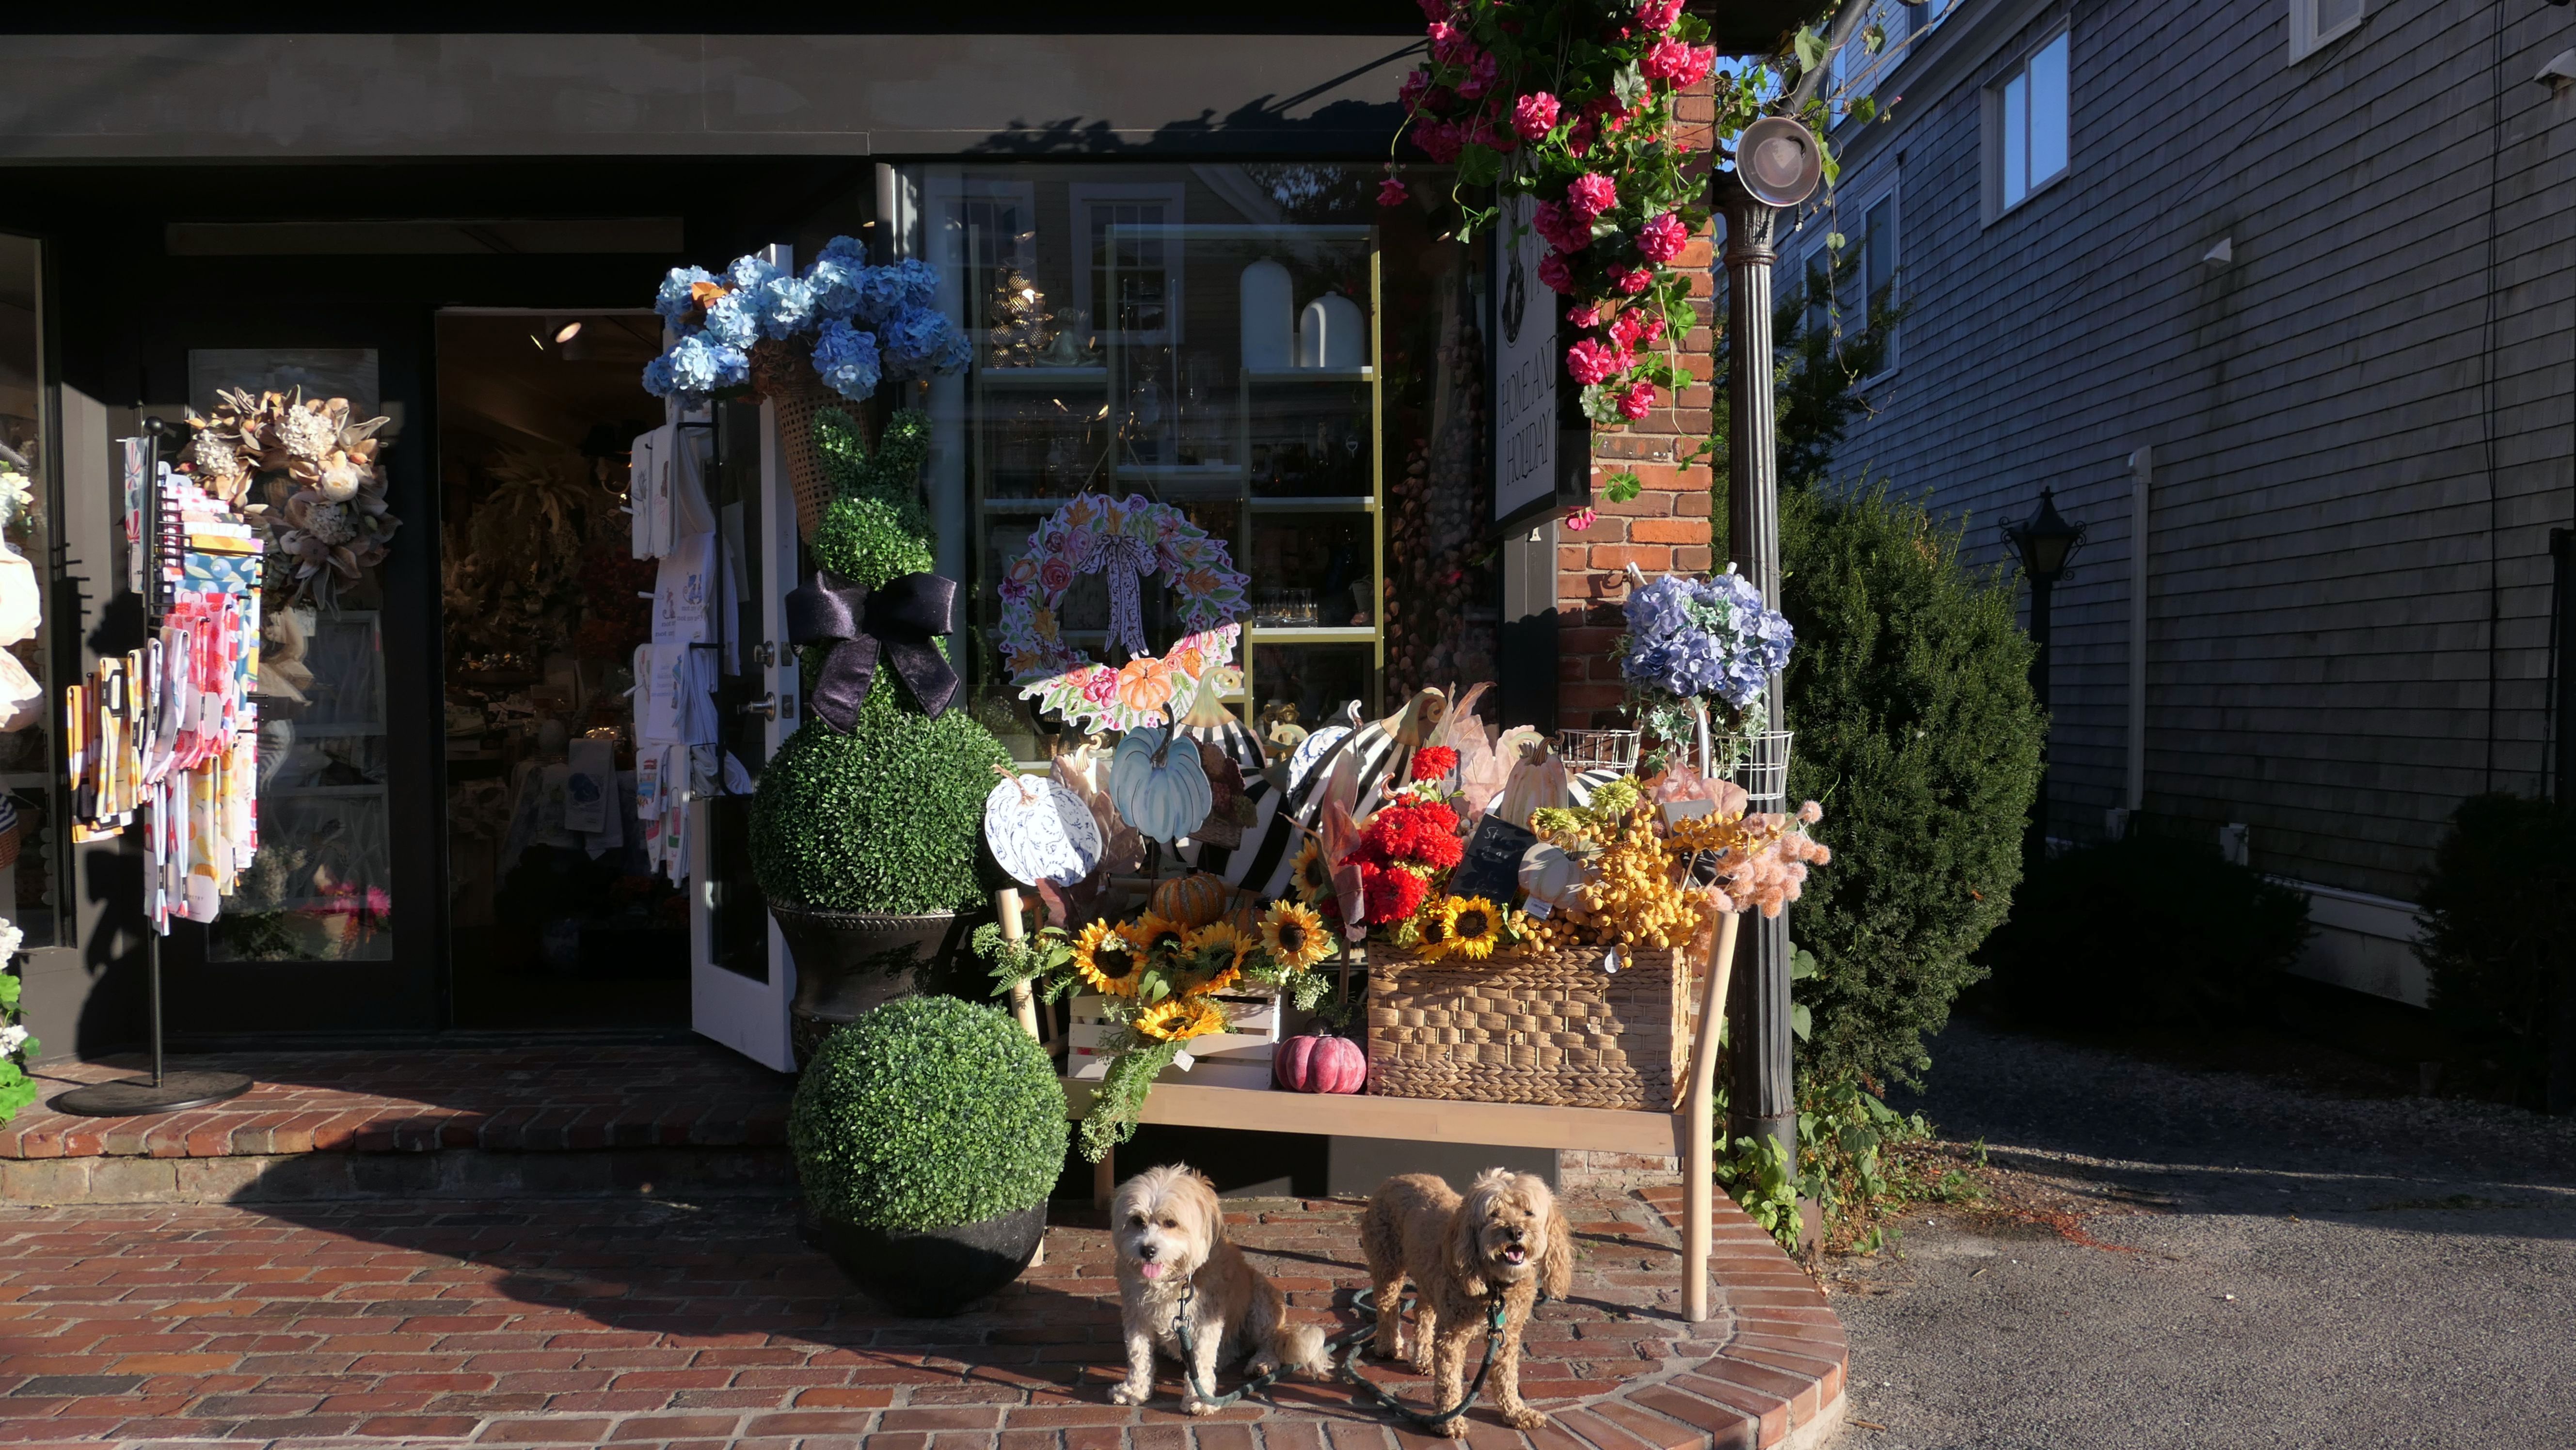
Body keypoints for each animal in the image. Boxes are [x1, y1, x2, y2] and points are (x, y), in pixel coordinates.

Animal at [1108, 1164, 1328, 1414]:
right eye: (1137, 1221)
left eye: (1171, 1223)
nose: (1148, 1250)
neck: (1173, 1282)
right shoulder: (1136, 1315)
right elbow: (1138, 1356)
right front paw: (1133, 1390)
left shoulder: (1206, 1319)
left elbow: (1201, 1360)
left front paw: (1199, 1398)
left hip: (1261, 1303)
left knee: (1269, 1342)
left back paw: (1262, 1363)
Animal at [1360, 1168, 1573, 1436]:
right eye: (1494, 1213)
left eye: (1528, 1212)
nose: (1515, 1232)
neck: (1496, 1287)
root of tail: (1398, 1177)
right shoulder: (1452, 1337)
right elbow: (1449, 1380)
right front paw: (1449, 1420)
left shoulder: (1506, 1336)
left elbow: (1507, 1377)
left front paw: (1516, 1412)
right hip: (1387, 1264)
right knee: (1387, 1307)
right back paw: (1388, 1345)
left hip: (1428, 1280)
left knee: (1422, 1313)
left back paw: (1422, 1358)